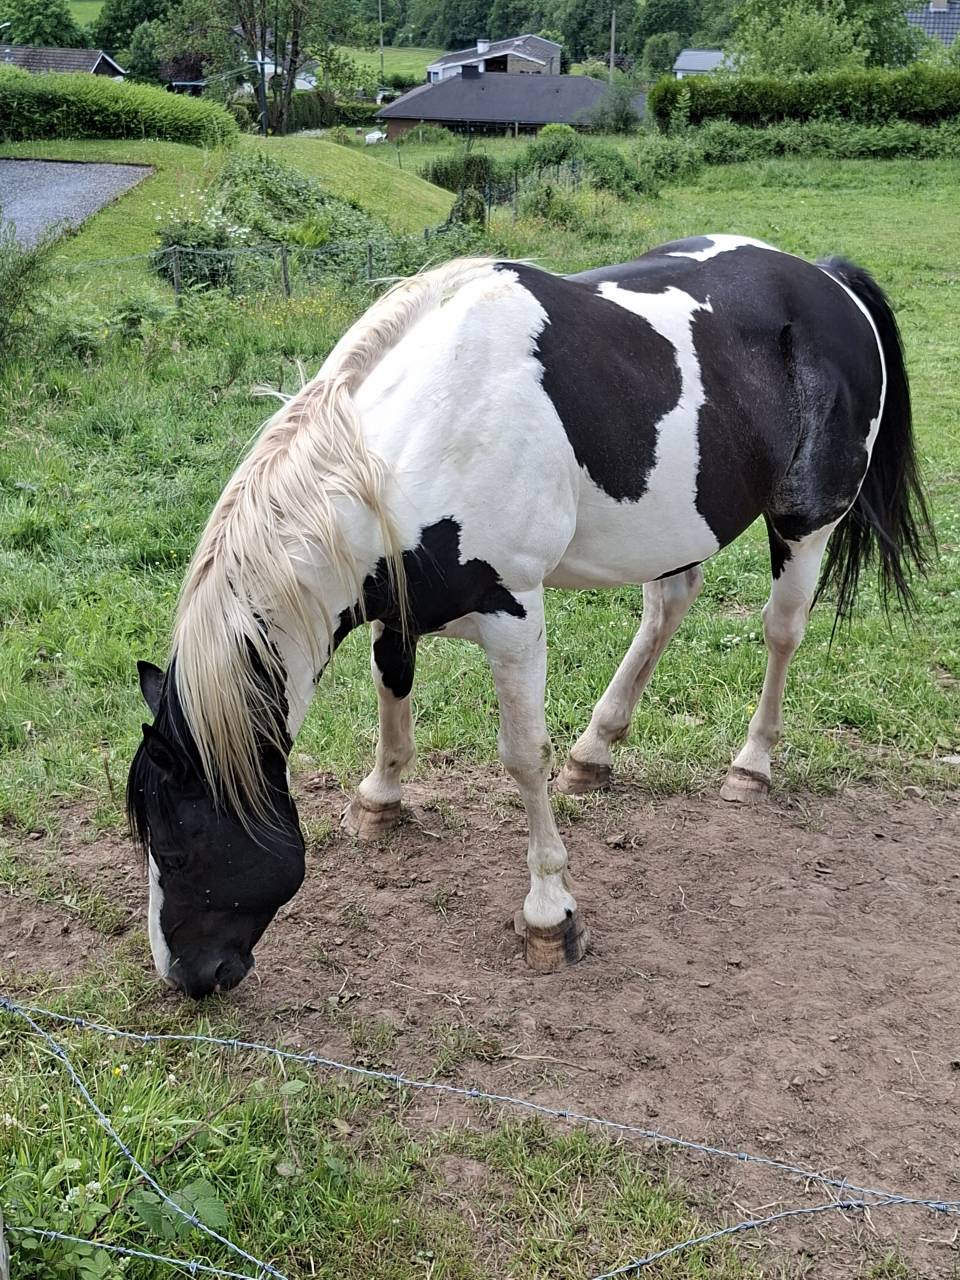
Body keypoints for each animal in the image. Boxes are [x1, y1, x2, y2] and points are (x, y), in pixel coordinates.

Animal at [127, 235, 931, 998]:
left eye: (176, 849)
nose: (186, 977)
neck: (417, 441)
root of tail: (823, 278)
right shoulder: (397, 602)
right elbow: (393, 693)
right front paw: (380, 801)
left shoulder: (513, 613)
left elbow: (521, 755)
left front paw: (551, 914)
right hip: (675, 527)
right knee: (667, 606)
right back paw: (594, 752)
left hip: (806, 523)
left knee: (781, 629)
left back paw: (751, 765)